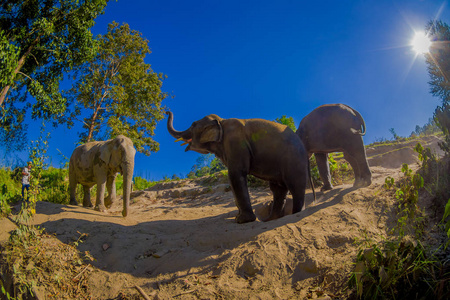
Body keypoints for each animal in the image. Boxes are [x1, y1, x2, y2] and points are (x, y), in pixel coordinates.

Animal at [165, 110, 312, 223]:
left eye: (193, 124)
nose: (167, 111)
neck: (221, 121)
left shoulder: (235, 142)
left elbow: (236, 174)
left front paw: (242, 221)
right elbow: (232, 178)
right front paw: (239, 217)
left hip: (294, 159)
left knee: (295, 185)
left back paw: (296, 213)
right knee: (278, 189)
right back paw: (271, 219)